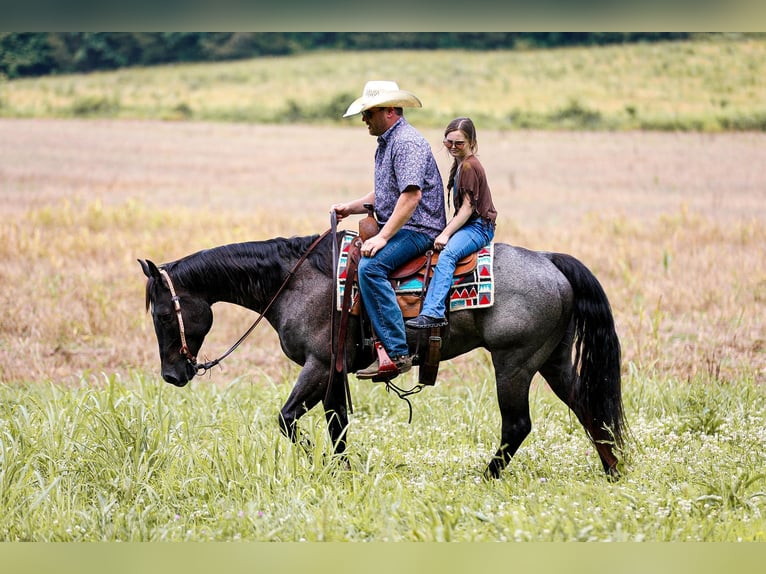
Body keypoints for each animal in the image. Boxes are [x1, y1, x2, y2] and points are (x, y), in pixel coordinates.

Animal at [139, 231, 625, 479]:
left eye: (162, 314)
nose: (172, 376)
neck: (297, 282)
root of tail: (549, 259)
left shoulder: (318, 365)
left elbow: (288, 419)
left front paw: (318, 462)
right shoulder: (333, 372)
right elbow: (337, 424)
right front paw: (341, 471)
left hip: (514, 363)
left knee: (518, 424)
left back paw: (487, 475)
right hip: (553, 361)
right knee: (587, 408)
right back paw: (612, 470)